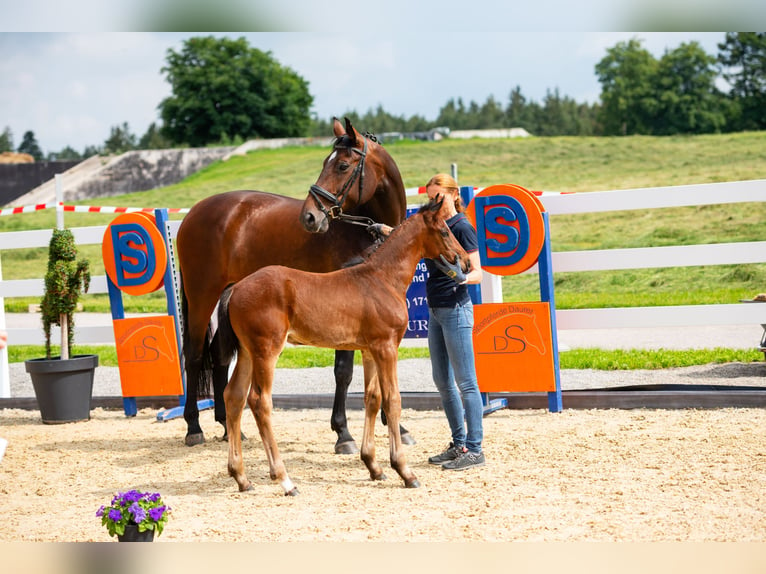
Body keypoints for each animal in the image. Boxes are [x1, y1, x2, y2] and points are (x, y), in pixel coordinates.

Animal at [176, 118, 412, 454]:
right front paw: (343, 433)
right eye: (325, 162)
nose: (310, 216)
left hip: (228, 297)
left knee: (221, 357)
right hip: (201, 297)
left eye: (342, 165)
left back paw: (227, 425)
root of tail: (193, 213)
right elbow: (343, 371)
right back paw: (194, 428)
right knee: (195, 354)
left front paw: (398, 428)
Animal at [213, 198, 472, 496]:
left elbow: (373, 399)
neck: (382, 279)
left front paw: (374, 466)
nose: (466, 261)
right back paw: (286, 480)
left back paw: (241, 477)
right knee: (259, 401)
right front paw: (404, 471)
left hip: (247, 352)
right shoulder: (387, 347)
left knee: (234, 397)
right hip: (266, 351)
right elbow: (393, 400)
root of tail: (236, 288)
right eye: (444, 231)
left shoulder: (369, 350)